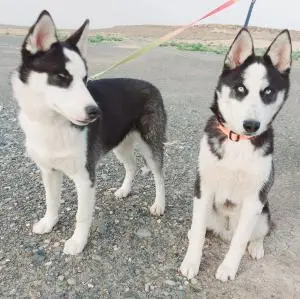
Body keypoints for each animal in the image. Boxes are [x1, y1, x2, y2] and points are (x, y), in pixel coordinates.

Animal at [11, 11, 166, 255]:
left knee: (159, 174)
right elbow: (51, 201)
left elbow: (82, 215)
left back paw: (159, 204)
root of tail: (152, 86)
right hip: (120, 144)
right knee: (131, 166)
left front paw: (78, 242)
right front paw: (49, 222)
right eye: (61, 77)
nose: (95, 112)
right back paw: (124, 190)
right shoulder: (49, 171)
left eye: (84, 79)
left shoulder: (85, 177)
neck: (52, 124)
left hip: (150, 145)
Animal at [179, 28, 292, 282]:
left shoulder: (254, 199)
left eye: (268, 92)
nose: (251, 125)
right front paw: (191, 262)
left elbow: (240, 241)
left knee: (257, 233)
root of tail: (225, 232)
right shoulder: (204, 189)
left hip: (263, 213)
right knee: (201, 226)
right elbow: (199, 233)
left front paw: (229, 267)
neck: (238, 141)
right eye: (241, 89)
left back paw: (256, 246)